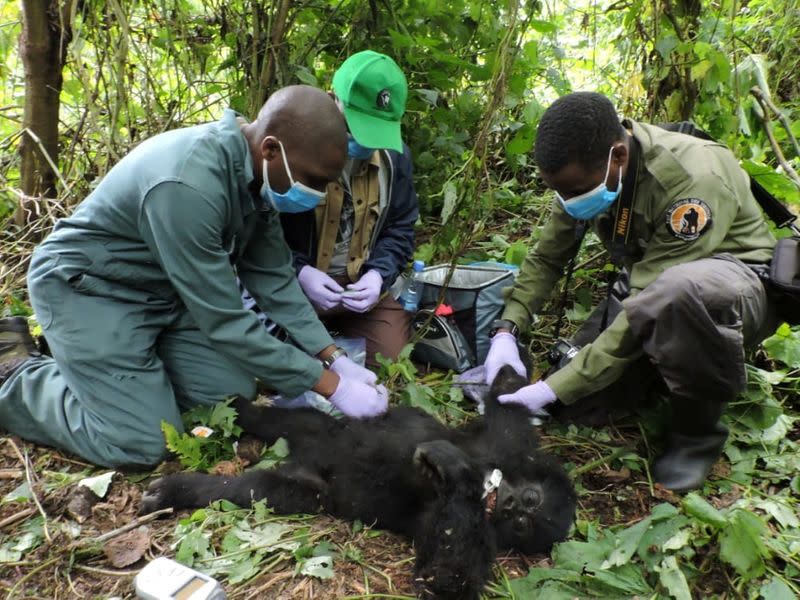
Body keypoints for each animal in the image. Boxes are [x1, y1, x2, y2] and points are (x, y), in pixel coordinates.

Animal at [141, 366, 572, 600]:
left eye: (522, 523)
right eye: (529, 499)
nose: (510, 505)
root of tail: (303, 455)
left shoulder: (479, 544)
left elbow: (443, 578)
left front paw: (455, 472)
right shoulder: (506, 446)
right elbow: (509, 412)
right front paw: (508, 373)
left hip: (308, 490)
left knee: (253, 490)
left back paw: (175, 490)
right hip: (329, 432)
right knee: (293, 422)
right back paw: (240, 409)